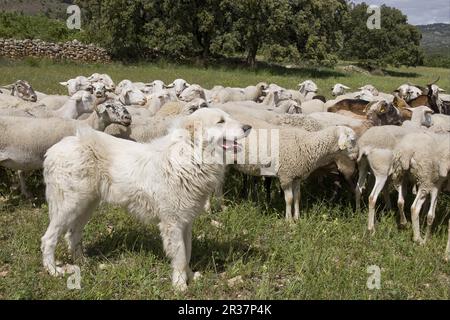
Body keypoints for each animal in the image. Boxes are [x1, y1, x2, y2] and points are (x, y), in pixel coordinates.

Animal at [40, 107, 251, 290]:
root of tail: (55, 148)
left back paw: (82, 262)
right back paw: (53, 271)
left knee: (73, 234)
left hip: (87, 205)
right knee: (49, 238)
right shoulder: (172, 223)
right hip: (68, 206)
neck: (190, 158)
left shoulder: (186, 222)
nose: (248, 127)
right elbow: (180, 255)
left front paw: (190, 276)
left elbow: (187, 252)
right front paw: (180, 285)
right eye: (221, 121)